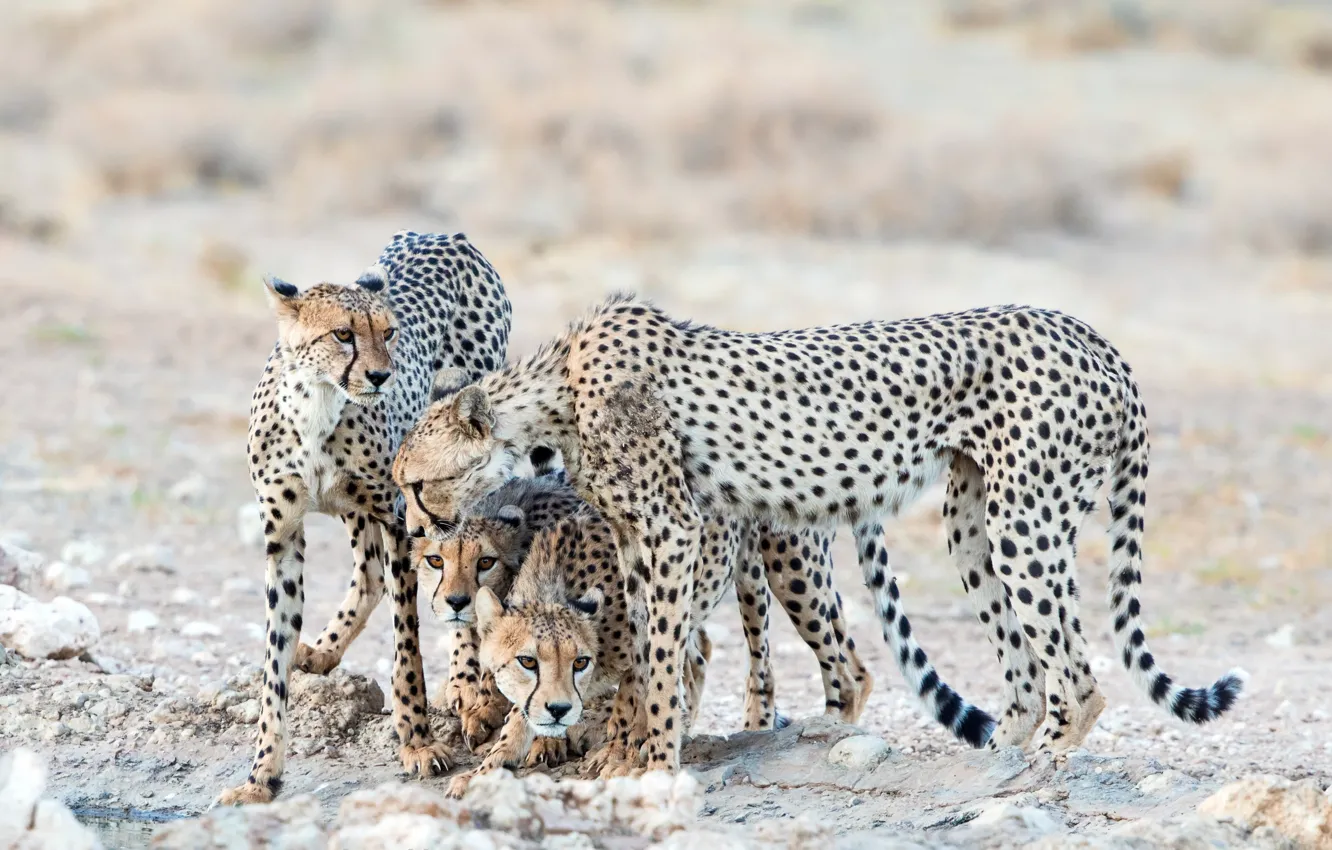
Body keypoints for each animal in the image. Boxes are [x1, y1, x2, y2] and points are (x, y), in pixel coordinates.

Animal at [217, 231, 512, 805]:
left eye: (388, 332)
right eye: (343, 334)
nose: (381, 375)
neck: (317, 410)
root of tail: (443, 234)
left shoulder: (399, 519)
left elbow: (407, 645)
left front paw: (418, 741)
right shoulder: (283, 538)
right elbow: (273, 666)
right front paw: (262, 774)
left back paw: (470, 686)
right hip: (357, 509)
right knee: (370, 573)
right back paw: (323, 651)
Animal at [415, 470, 874, 758]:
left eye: (485, 561)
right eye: (436, 561)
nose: (456, 601)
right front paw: (481, 713)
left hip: (783, 567)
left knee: (825, 667)